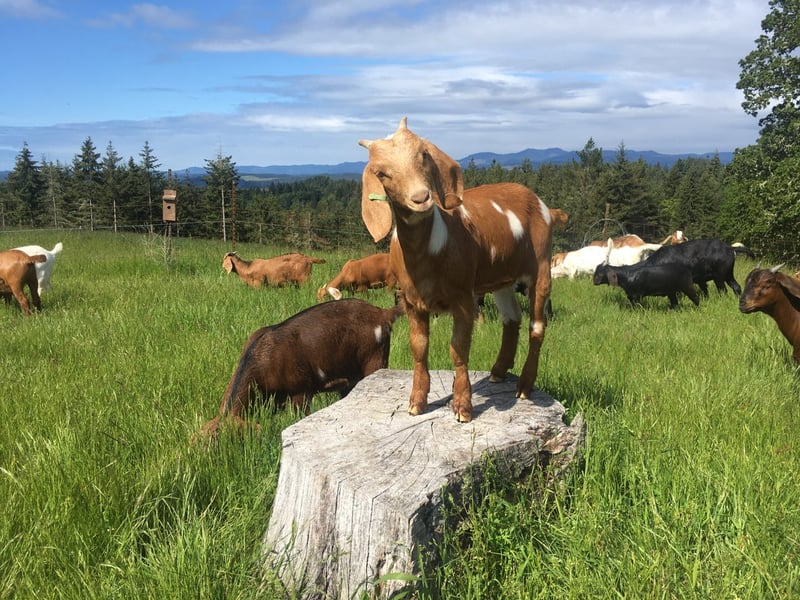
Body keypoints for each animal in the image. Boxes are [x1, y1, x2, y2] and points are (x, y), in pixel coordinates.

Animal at [359, 117, 552, 423]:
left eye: (424, 155)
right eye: (381, 172)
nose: (421, 197)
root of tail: (541, 203)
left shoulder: (463, 298)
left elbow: (458, 349)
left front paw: (462, 407)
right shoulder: (411, 301)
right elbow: (419, 348)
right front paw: (417, 402)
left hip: (542, 266)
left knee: (537, 326)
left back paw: (524, 386)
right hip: (502, 280)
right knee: (512, 318)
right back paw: (499, 371)